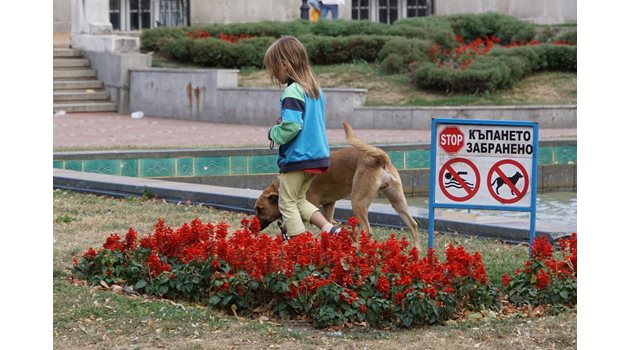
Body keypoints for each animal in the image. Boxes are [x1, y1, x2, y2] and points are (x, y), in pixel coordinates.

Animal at [254, 121, 422, 250]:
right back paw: (416, 250)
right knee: (413, 224)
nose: (251, 228)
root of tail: (380, 159)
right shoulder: (329, 205)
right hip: (398, 201)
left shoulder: (309, 206)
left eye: (260, 209)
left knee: (367, 231)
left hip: (358, 202)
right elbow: (328, 224)